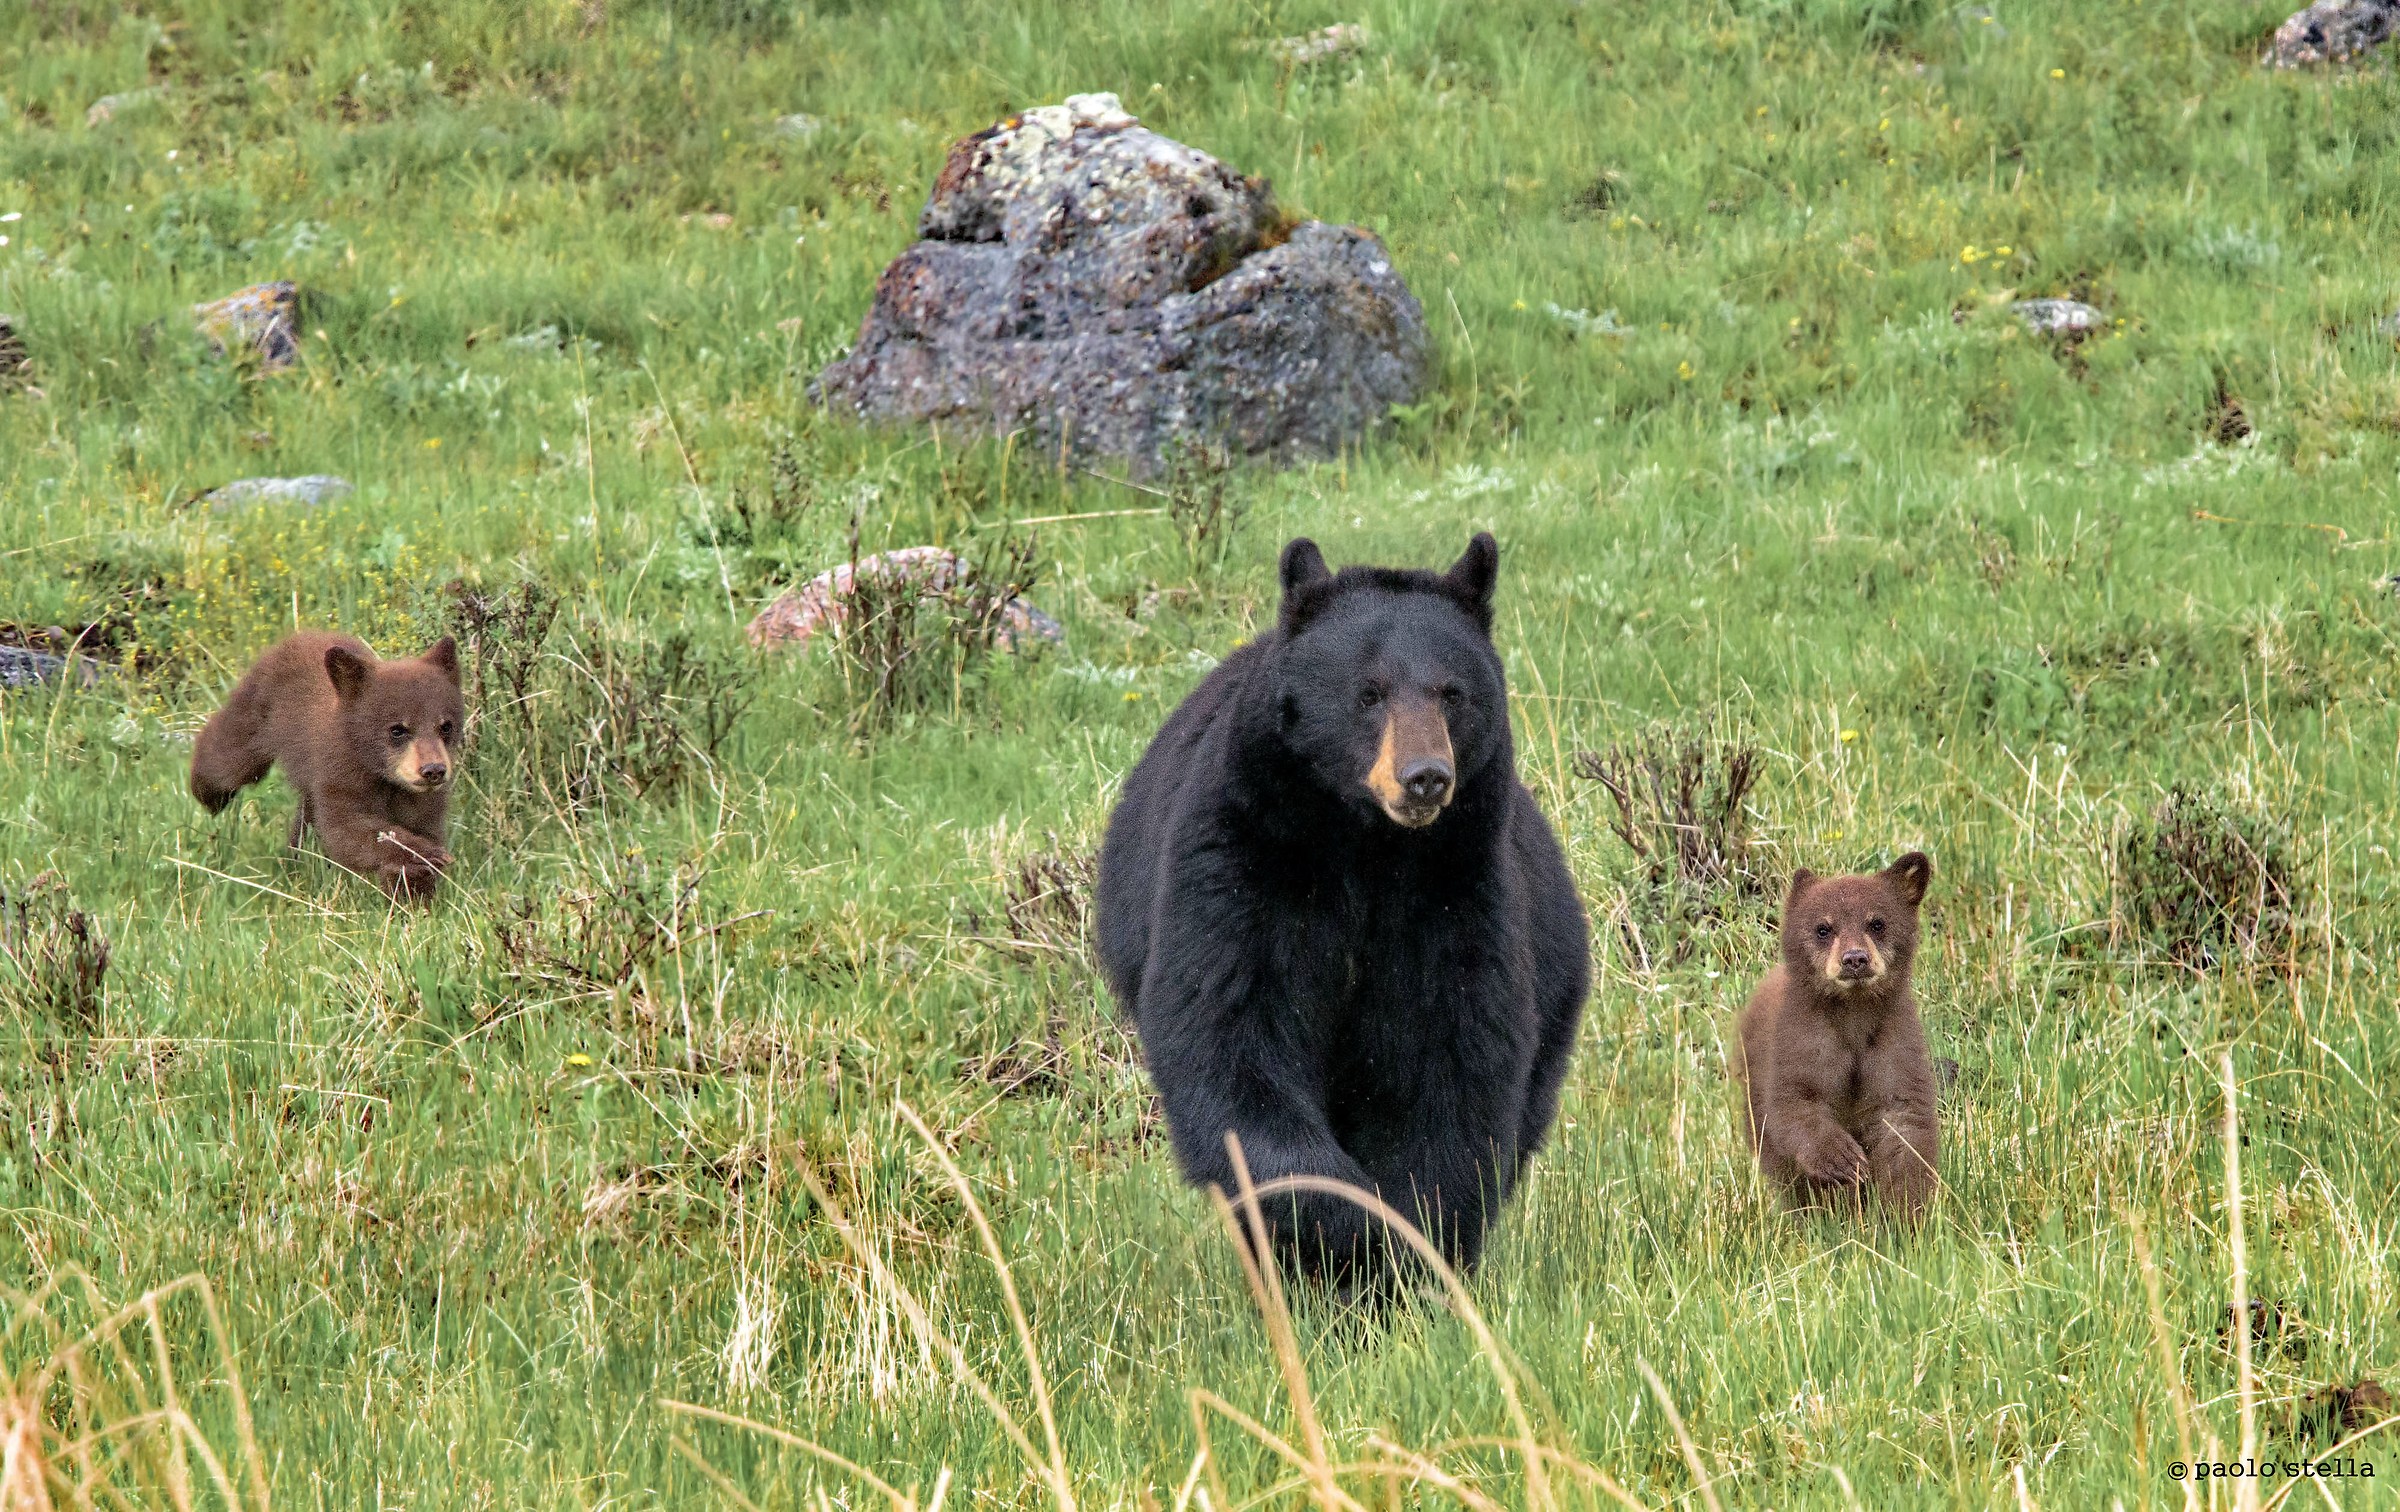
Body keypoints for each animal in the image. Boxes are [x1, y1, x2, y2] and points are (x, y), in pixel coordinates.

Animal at [190, 632, 465, 902]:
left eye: (446, 726)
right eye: (397, 730)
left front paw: (415, 894)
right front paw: (425, 854)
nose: (433, 770)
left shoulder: (424, 801)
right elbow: (345, 831)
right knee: (226, 758)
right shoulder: (339, 773)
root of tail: (300, 635)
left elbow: (422, 830)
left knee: (305, 822)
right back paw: (207, 792)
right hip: (256, 714)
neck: (385, 778)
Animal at [1096, 533, 1590, 1293]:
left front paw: (1410, 1251)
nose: (1425, 777)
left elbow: (1451, 1060)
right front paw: (1344, 1227)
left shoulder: (1454, 890)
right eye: (1369, 693)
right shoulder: (1244, 860)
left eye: (1452, 692)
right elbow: (1233, 1035)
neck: (1365, 845)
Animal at [1733, 853, 1939, 1218]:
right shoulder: (1804, 1038)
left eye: (1877, 923)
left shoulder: (1893, 1038)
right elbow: (1795, 1101)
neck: (1853, 1014)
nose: (1854, 959)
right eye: (1823, 929)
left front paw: (1906, 1212)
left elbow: (1904, 1118)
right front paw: (1841, 1158)